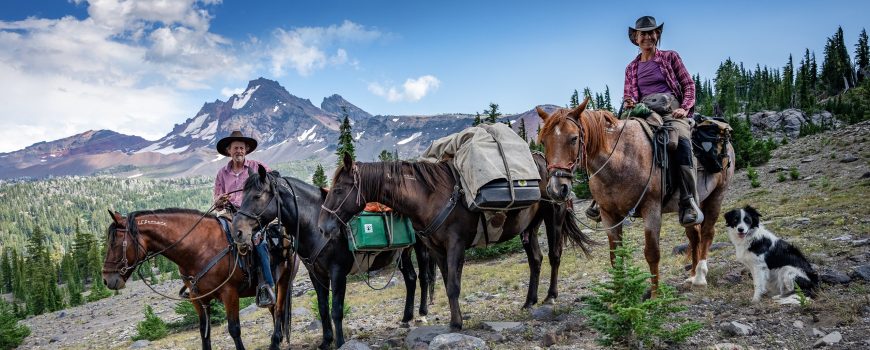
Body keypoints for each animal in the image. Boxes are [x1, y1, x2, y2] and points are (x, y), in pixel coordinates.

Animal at [102, 208, 298, 350]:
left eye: (115, 243)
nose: (106, 279)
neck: (199, 249)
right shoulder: (198, 299)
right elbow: (205, 333)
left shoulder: (229, 294)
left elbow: (234, 330)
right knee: (273, 309)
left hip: (284, 280)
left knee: (279, 310)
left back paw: (275, 342)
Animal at [232, 167, 436, 350]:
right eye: (243, 196)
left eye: (257, 196)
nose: (238, 232)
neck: (315, 223)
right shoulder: (316, 274)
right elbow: (323, 309)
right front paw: (326, 341)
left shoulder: (337, 272)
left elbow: (336, 310)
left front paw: (340, 342)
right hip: (403, 254)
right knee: (410, 278)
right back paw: (406, 318)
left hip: (420, 247)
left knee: (423, 277)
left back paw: (423, 312)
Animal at [320, 152, 600, 330]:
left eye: (338, 190)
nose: (323, 227)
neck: (429, 196)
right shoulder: (436, 250)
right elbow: (446, 284)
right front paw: (455, 318)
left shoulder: (455, 245)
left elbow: (454, 285)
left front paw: (457, 323)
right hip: (528, 227)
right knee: (536, 259)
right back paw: (529, 300)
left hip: (554, 215)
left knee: (554, 255)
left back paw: (550, 296)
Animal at [540, 100, 736, 294]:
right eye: (543, 141)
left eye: (573, 138)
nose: (556, 189)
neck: (621, 160)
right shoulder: (608, 215)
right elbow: (615, 256)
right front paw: (619, 296)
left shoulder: (651, 209)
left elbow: (652, 253)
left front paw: (656, 296)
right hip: (694, 204)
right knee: (694, 235)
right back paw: (692, 275)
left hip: (717, 195)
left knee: (707, 232)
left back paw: (700, 277)